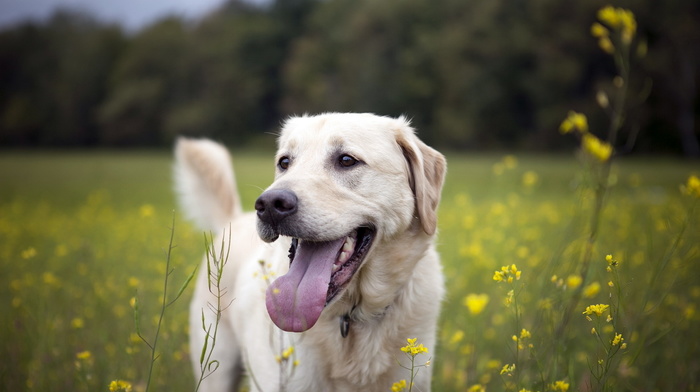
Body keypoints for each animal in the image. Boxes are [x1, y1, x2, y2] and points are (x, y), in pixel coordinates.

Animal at [176, 112, 448, 390]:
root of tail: (233, 219)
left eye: (347, 160)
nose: (269, 204)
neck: (350, 318)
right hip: (215, 367)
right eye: (284, 162)